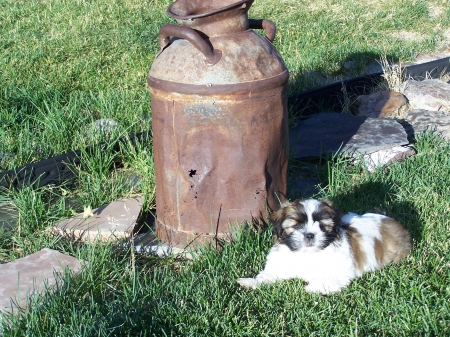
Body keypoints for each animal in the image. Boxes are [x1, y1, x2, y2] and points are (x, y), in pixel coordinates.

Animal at [239, 198, 412, 292]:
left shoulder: (341, 270)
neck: (307, 254)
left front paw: (311, 287)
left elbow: (329, 278)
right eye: (297, 225)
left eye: (322, 225)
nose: (309, 234)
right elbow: (268, 275)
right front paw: (251, 282)